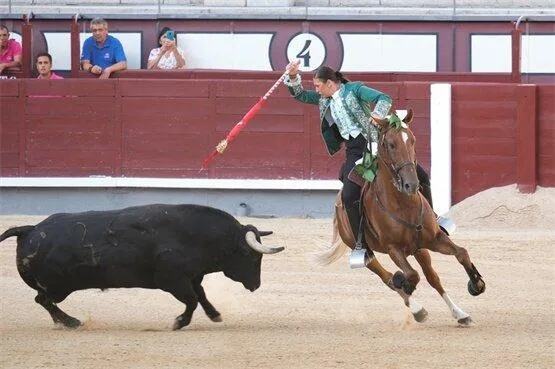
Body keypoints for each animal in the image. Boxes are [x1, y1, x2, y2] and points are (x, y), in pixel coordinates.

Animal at [0, 204, 284, 328]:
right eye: (250, 255)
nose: (255, 285)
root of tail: (29, 229)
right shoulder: (172, 281)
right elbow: (192, 300)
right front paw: (179, 322)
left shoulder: (191, 277)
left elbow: (201, 296)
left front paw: (215, 314)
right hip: (58, 287)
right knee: (43, 299)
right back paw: (71, 322)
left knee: (43, 301)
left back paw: (64, 321)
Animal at [322, 109, 486, 324]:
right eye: (390, 144)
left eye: (413, 141)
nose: (411, 184)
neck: (404, 205)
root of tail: (337, 203)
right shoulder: (394, 249)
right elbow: (411, 275)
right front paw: (405, 285)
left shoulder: (434, 238)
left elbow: (461, 253)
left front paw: (477, 284)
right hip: (365, 251)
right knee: (387, 277)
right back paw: (416, 307)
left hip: (420, 249)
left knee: (432, 277)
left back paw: (459, 313)